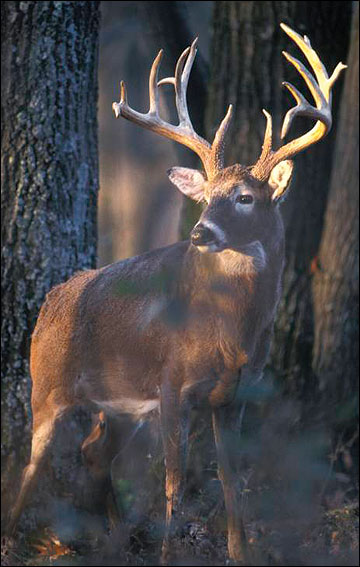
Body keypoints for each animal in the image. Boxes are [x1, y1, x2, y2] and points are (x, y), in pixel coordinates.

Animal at [7, 21, 346, 564]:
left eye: (245, 197)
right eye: (205, 197)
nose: (200, 232)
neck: (230, 332)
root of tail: (48, 304)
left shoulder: (235, 392)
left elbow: (230, 478)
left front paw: (240, 552)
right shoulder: (171, 382)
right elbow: (173, 479)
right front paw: (170, 553)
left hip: (118, 404)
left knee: (93, 451)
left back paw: (118, 539)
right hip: (47, 384)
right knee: (31, 464)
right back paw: (14, 536)